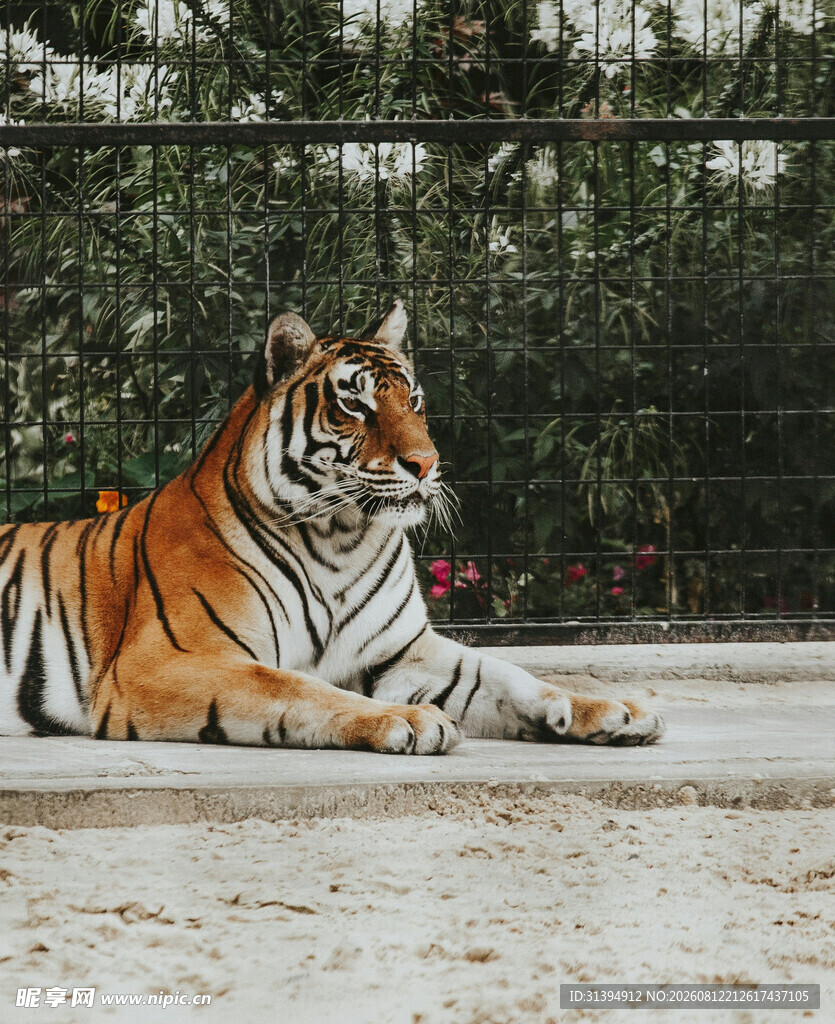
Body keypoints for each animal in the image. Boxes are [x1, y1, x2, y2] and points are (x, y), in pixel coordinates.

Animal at [0, 299, 664, 753]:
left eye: (414, 401)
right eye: (355, 404)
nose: (427, 463)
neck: (341, 540)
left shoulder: (404, 652)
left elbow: (509, 675)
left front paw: (614, 710)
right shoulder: (166, 662)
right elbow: (296, 687)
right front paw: (409, 721)